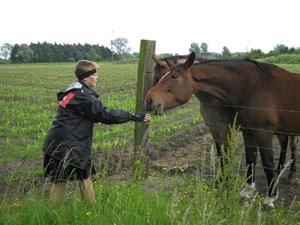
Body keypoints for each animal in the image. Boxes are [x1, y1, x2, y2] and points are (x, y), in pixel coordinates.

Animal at [146, 51, 300, 209]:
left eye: (174, 77)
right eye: (159, 78)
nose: (148, 101)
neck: (252, 87)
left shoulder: (243, 131)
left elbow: (263, 163)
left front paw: (269, 198)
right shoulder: (224, 130)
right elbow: (236, 158)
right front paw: (229, 184)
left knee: (291, 145)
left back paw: (289, 174)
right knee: (284, 142)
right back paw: (280, 173)